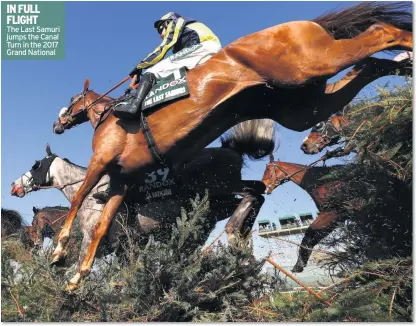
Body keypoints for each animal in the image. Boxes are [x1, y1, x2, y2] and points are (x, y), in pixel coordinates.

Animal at [262, 155, 412, 272]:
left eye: (268, 169)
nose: (264, 188)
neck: (318, 181)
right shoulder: (337, 217)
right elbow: (313, 236)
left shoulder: (331, 212)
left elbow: (309, 234)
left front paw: (299, 264)